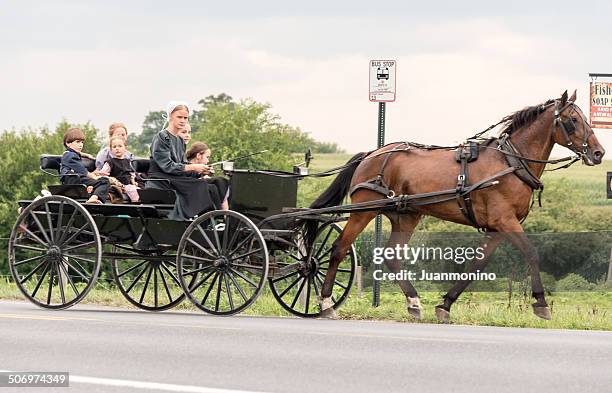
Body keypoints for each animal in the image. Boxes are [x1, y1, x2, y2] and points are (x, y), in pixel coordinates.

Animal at [314, 89, 604, 322]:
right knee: (338, 249)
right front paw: (541, 303)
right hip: (365, 210)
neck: (511, 162)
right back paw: (326, 303)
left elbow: (476, 265)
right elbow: (532, 253)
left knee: (392, 256)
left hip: (405, 215)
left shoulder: (496, 228)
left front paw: (445, 304)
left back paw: (414, 302)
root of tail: (371, 154)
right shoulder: (504, 220)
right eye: (573, 120)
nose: (598, 153)